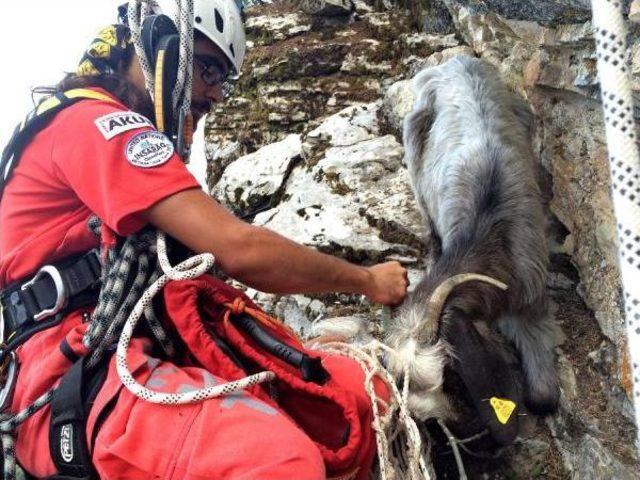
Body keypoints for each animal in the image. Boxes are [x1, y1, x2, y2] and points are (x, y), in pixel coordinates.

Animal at [384, 54, 560, 444]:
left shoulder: (532, 300)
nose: (478, 438)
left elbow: (543, 398)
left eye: (452, 376)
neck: (489, 235)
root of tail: (455, 61)